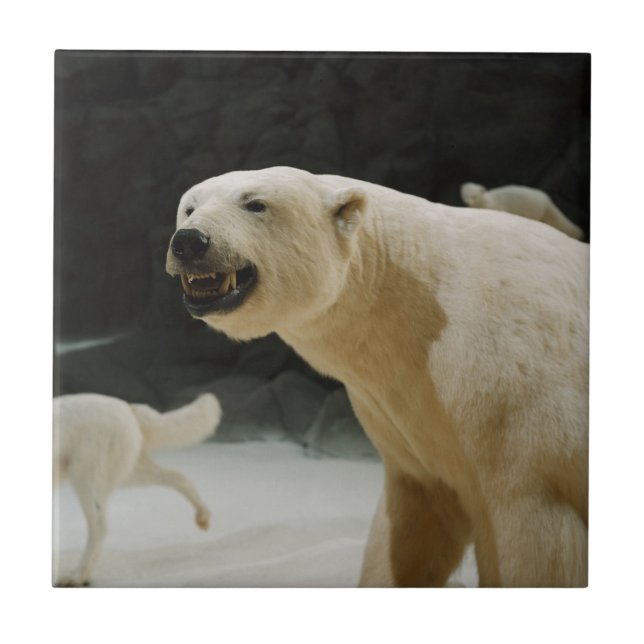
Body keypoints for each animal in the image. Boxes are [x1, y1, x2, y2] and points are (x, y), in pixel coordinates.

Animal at [166, 166, 589, 587]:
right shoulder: (406, 415)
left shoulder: (517, 417)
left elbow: (528, 544)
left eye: (255, 204)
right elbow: (407, 529)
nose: (189, 241)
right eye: (190, 207)